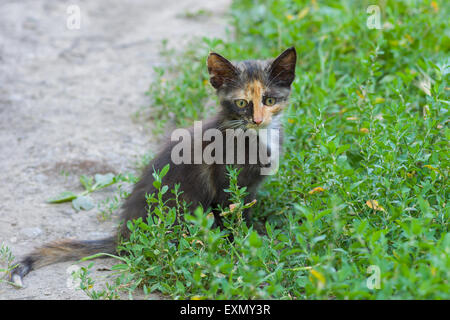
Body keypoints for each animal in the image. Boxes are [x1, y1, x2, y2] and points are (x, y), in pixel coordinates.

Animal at [9, 47, 296, 284]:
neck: (253, 135)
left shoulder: (249, 189)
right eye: (241, 103)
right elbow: (234, 221)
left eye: (270, 100)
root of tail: (124, 234)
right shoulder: (227, 187)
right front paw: (245, 250)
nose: (258, 120)